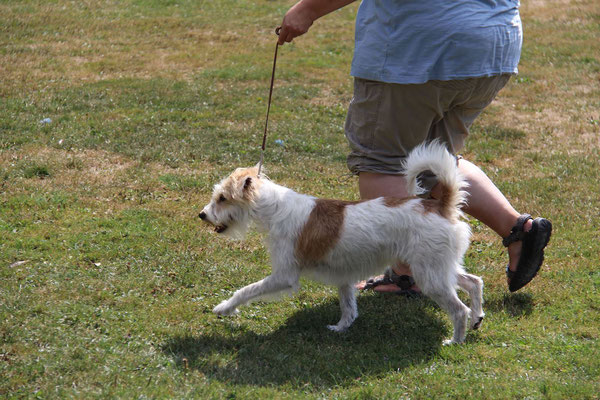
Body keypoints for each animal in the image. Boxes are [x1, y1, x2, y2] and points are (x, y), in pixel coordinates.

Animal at [199, 141, 486, 344]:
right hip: (440, 268)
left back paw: (455, 340)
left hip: (430, 276)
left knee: (458, 309)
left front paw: (224, 308)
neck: (276, 209)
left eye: (222, 198)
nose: (202, 214)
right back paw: (477, 318)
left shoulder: (284, 276)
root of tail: (439, 205)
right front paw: (340, 328)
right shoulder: (344, 277)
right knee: (474, 282)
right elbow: (348, 308)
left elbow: (246, 290)